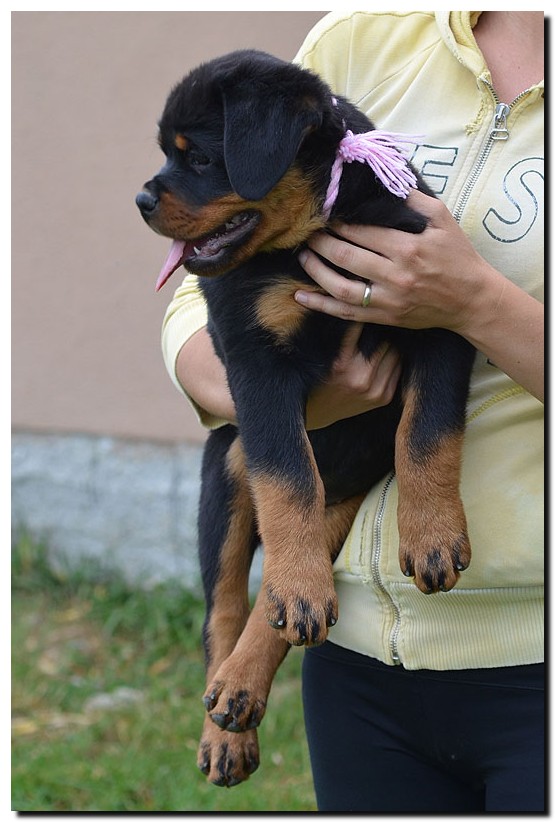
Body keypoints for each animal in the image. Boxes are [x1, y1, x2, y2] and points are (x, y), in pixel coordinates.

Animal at [137, 48, 476, 788]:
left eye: (199, 157)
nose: (141, 200)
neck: (313, 234)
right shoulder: (255, 366)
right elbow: (286, 473)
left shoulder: (441, 309)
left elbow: (428, 430)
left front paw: (434, 535)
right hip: (225, 467)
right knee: (227, 607)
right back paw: (224, 720)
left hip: (339, 502)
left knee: (282, 600)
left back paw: (255, 667)